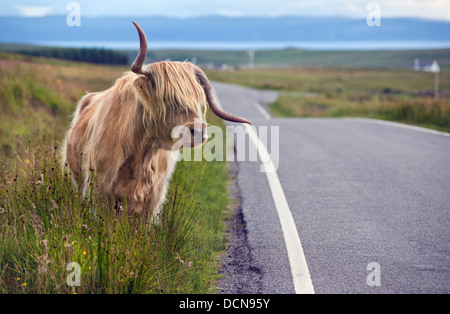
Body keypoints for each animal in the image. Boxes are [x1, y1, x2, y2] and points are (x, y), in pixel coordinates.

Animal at [60, 21, 251, 218]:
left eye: (197, 100)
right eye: (166, 98)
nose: (198, 132)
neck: (140, 150)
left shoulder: (153, 197)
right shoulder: (100, 190)